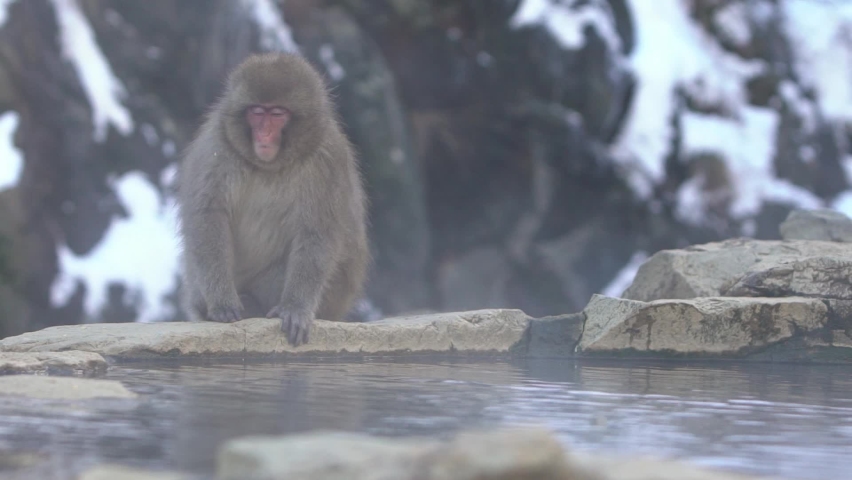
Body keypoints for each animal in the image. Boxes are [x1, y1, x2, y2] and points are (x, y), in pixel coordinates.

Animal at [175, 52, 370, 347]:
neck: (270, 165)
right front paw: (222, 302)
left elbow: (317, 232)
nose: (264, 135)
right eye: (257, 112)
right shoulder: (216, 147)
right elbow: (208, 215)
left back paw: (255, 304)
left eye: (277, 114)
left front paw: (295, 308)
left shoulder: (328, 158)